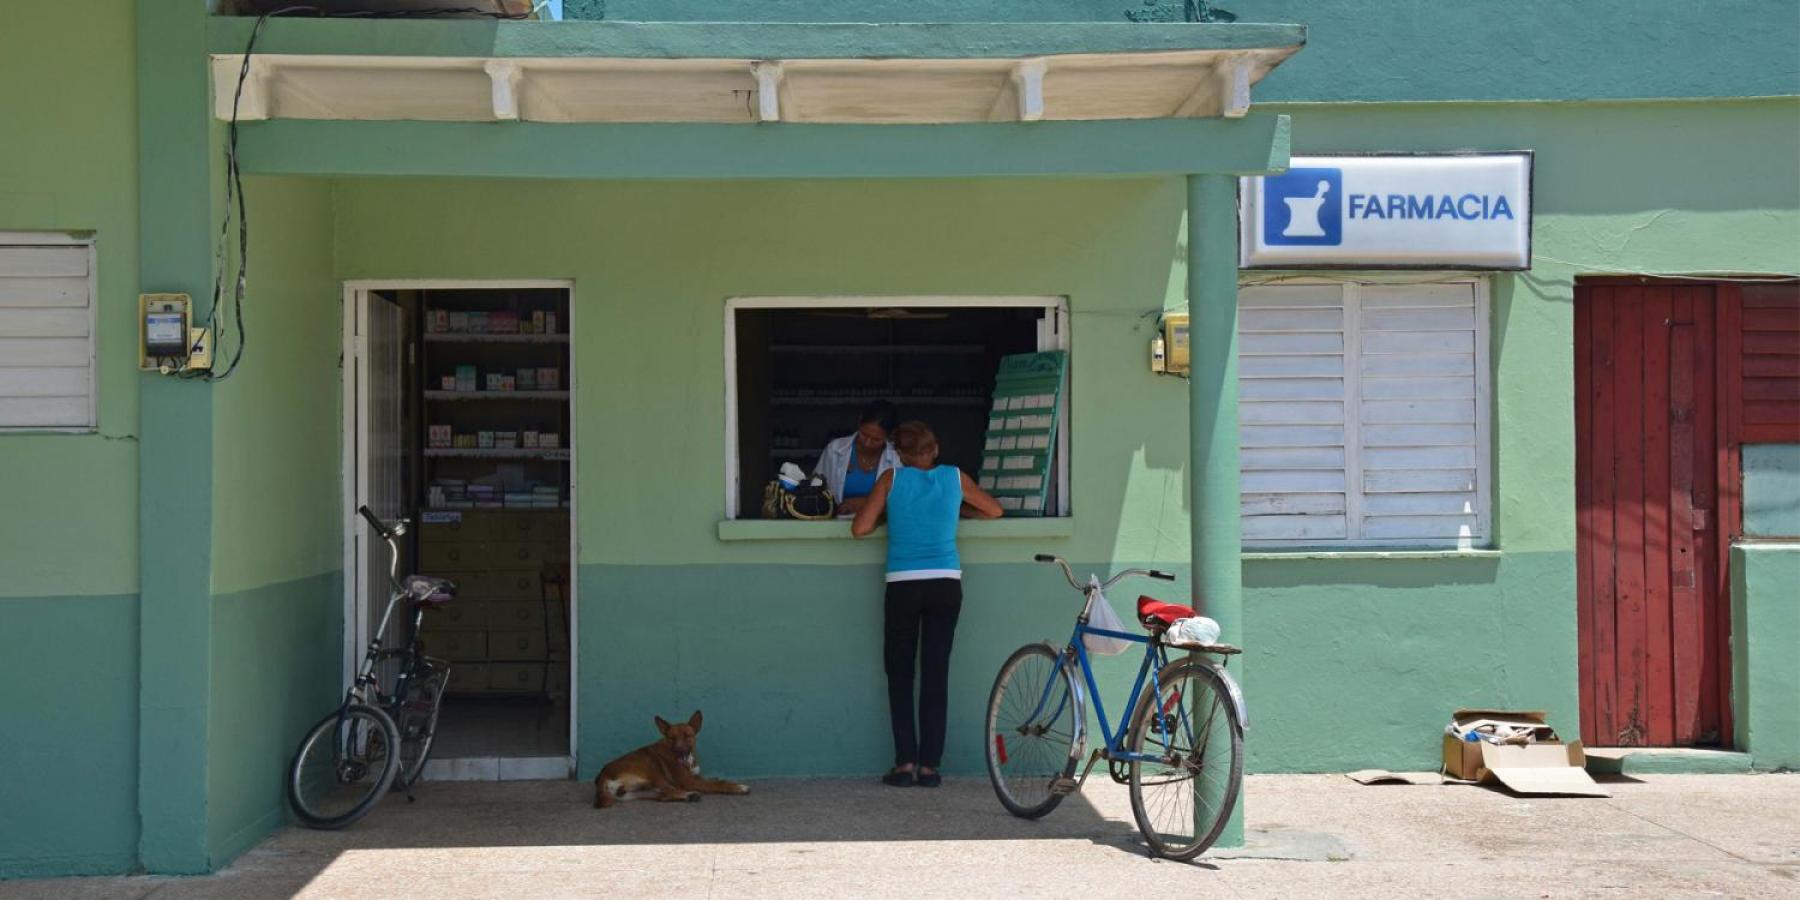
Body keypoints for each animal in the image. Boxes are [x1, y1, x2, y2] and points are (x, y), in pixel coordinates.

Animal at [594, 709, 748, 810]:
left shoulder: (696, 776)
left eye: (687, 736)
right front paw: (738, 787)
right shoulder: (690, 781)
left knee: (663, 796)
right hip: (653, 774)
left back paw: (688, 796)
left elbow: (715, 780)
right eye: (672, 738)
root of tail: (602, 777)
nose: (679, 750)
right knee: (667, 791)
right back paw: (689, 795)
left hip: (637, 792)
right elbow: (716, 783)